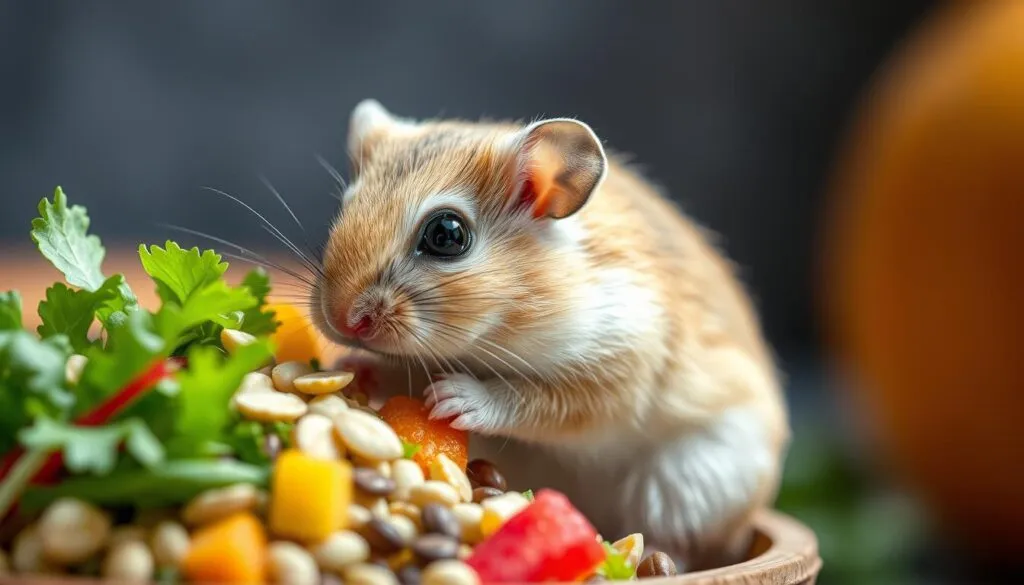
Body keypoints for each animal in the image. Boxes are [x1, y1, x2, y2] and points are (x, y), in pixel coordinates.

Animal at [313, 99, 789, 571]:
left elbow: (538, 400)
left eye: (446, 234)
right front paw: (354, 368)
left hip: (690, 486)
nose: (342, 321)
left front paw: (454, 398)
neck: (495, 335)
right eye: (345, 208)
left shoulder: (617, 371)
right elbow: (402, 377)